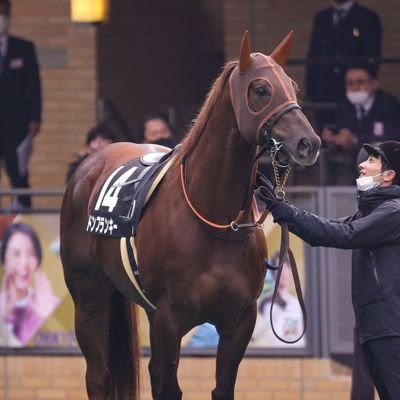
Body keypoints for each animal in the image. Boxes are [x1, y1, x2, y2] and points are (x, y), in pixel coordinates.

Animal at [60, 32, 322, 400]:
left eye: (293, 86)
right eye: (261, 90)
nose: (308, 143)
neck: (216, 223)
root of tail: (88, 166)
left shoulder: (240, 320)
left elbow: (220, 386)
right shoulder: (170, 319)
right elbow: (169, 386)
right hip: (89, 299)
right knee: (98, 376)